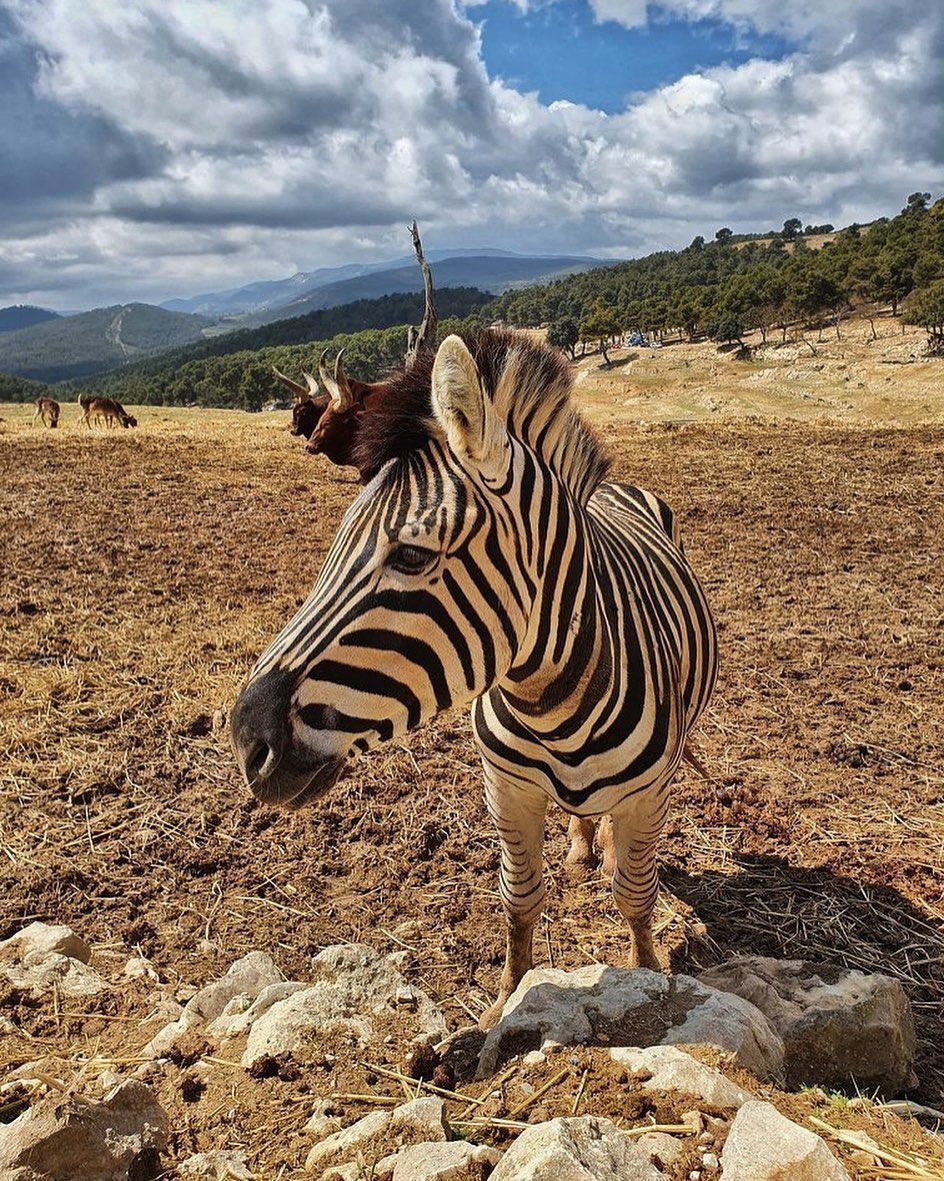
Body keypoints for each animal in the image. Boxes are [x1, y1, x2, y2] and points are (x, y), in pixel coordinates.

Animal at [230, 328, 718, 1029]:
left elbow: (635, 894)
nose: (246, 740)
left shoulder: (648, 795)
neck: (552, 704)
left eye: (411, 555)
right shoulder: (505, 788)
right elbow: (519, 896)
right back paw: (581, 845)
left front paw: (648, 978)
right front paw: (506, 1000)